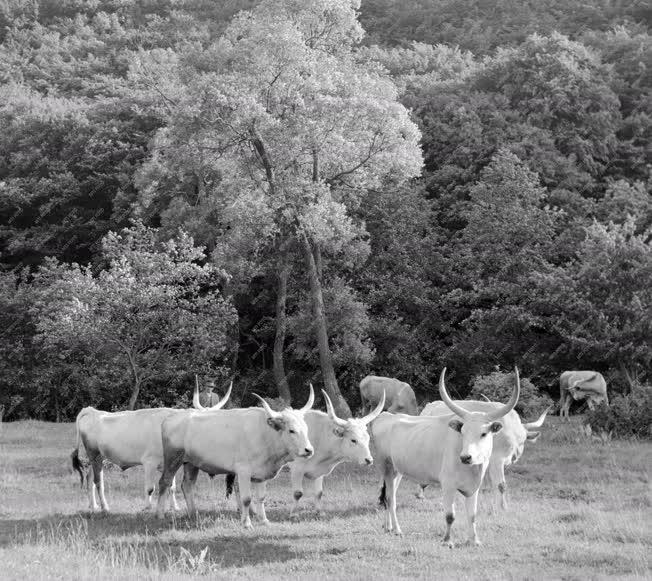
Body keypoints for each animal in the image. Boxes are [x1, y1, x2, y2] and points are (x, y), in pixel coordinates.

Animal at [69, 380, 229, 512]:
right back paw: (105, 507)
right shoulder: (149, 462)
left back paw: (93, 505)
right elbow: (150, 488)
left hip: (96, 457)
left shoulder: (169, 463)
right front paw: (147, 507)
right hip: (94, 455)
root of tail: (91, 411)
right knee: (98, 481)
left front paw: (175, 507)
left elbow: (171, 486)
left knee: (90, 478)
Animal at [155, 386, 314, 524]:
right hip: (173, 458)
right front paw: (247, 523)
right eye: (291, 430)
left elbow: (261, 498)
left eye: (306, 428)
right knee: (165, 482)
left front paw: (264, 520)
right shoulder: (243, 471)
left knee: (187, 485)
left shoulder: (262, 472)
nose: (309, 450)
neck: (265, 433)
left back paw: (193, 514)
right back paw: (160, 515)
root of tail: (170, 418)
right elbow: (246, 499)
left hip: (191, 462)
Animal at [372, 368, 520, 544]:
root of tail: (385, 417)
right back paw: (397, 529)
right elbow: (450, 516)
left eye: (484, 433)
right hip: (385, 468)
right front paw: (447, 540)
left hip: (397, 471)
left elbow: (472, 515)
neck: (472, 469)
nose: (466, 457)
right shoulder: (448, 485)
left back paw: (389, 527)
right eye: (463, 432)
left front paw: (474, 540)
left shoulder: (473, 488)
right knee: (389, 498)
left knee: (389, 496)